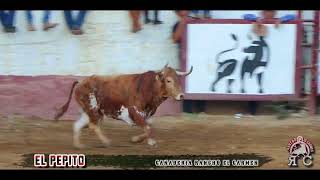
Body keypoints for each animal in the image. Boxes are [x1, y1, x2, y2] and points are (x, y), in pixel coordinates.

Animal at [54, 64, 192, 148]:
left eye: (178, 80)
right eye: (168, 80)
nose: (181, 95)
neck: (148, 87)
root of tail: (81, 82)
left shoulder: (147, 115)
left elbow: (149, 127)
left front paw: (137, 139)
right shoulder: (134, 112)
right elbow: (147, 128)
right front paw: (148, 141)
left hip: (89, 112)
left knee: (78, 125)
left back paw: (79, 145)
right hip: (93, 110)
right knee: (93, 126)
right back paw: (106, 142)